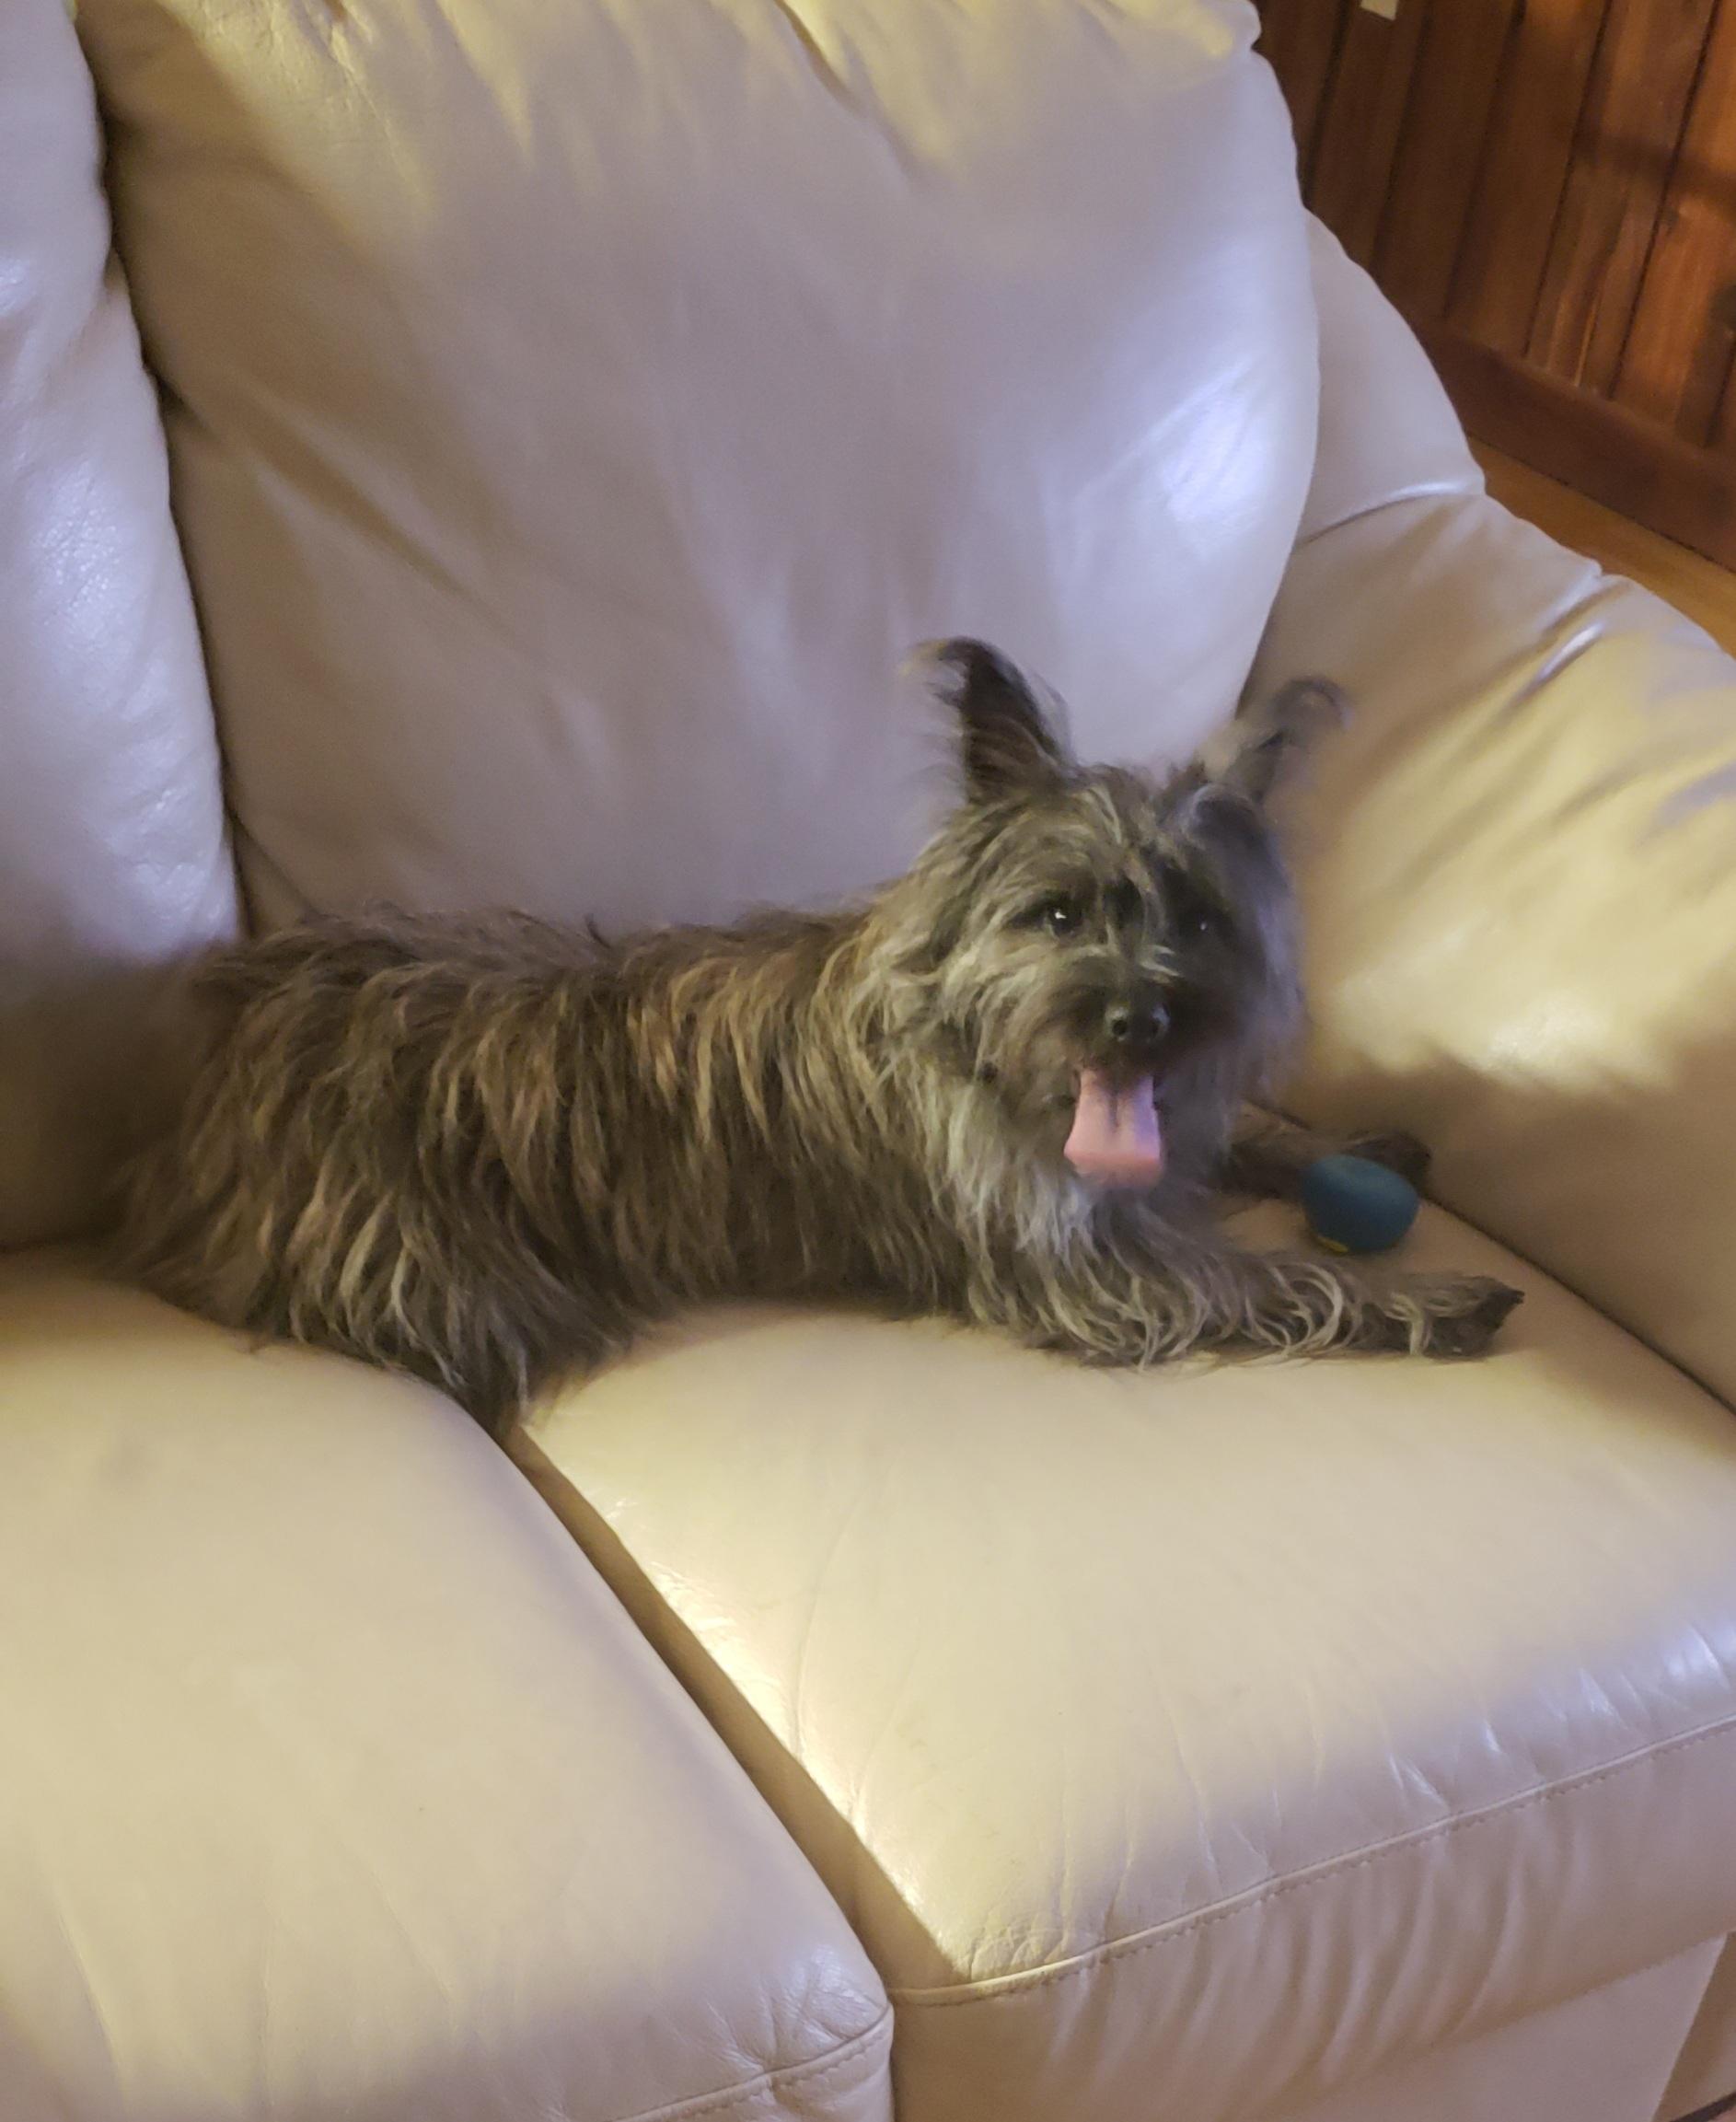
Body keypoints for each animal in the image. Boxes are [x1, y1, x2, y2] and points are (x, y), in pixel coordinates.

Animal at [115, 640, 1521, 1435]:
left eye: (1199, 914)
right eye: (1057, 912)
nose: (1140, 1019)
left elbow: (1252, 1149)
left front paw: (1353, 1145)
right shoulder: (1094, 1276)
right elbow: (1271, 1279)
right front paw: (1434, 1297)